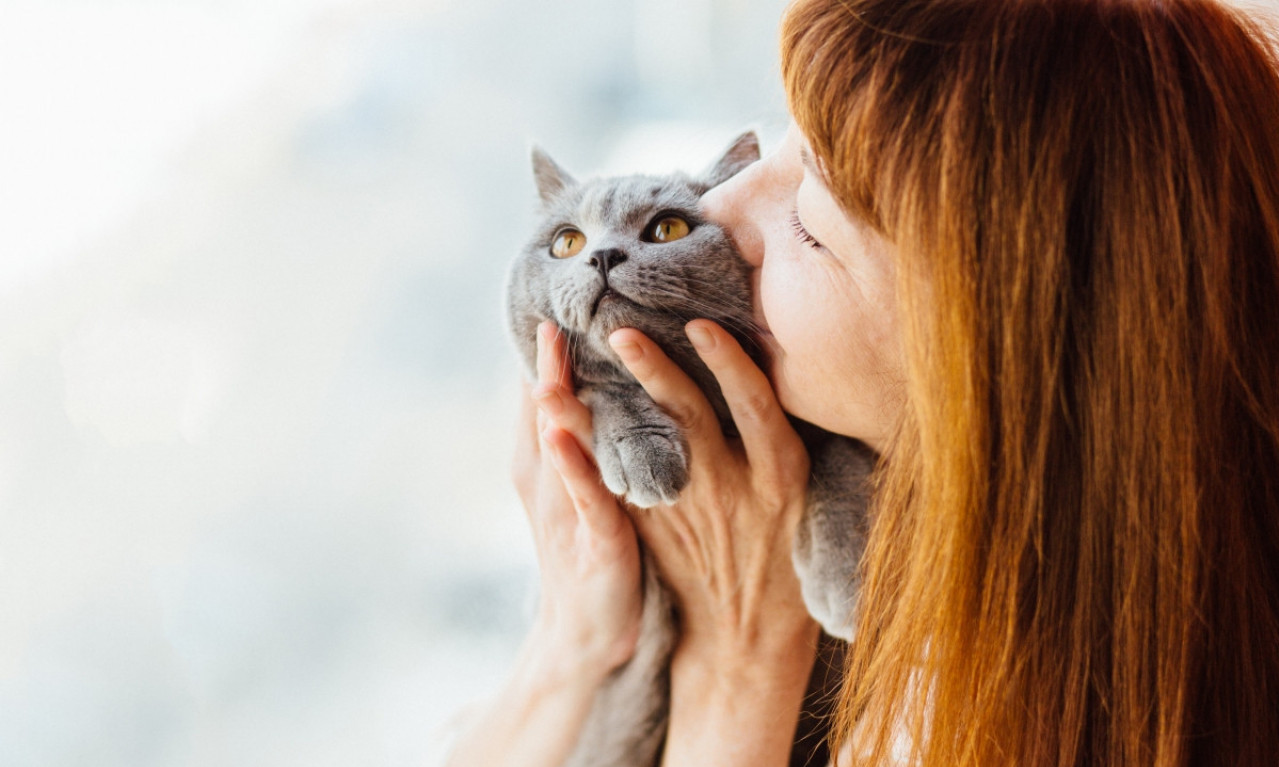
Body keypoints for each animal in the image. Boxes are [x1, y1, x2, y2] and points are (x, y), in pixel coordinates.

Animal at [503, 133, 874, 767]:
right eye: (567, 242)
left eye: (666, 229)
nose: (601, 256)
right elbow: (602, 385)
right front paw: (643, 454)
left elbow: (840, 450)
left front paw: (840, 579)